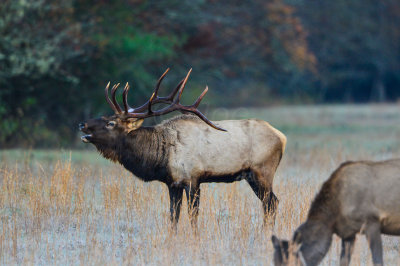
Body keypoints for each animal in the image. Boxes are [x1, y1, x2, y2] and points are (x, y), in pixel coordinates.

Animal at [78, 69, 286, 230]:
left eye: (110, 123)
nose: (82, 124)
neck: (161, 157)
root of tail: (282, 137)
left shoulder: (193, 179)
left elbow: (193, 215)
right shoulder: (173, 183)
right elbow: (173, 216)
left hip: (262, 171)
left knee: (271, 203)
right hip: (252, 176)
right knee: (270, 203)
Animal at [270, 159, 400, 264]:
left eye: (289, 261)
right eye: (275, 261)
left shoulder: (372, 221)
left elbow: (378, 260)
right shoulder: (348, 233)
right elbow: (343, 261)